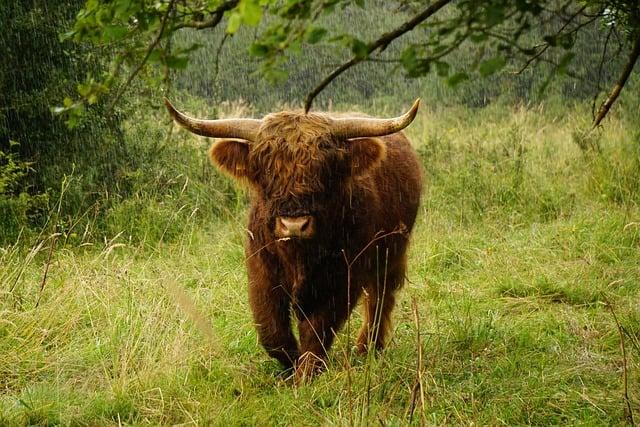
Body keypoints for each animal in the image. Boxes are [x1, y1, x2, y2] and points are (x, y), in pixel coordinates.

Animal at [165, 98, 422, 382]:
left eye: (324, 168)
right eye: (266, 169)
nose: (294, 225)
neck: (299, 255)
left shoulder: (343, 276)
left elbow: (318, 327)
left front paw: (307, 373)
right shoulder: (262, 273)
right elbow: (271, 330)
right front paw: (291, 366)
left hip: (390, 254)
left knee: (380, 298)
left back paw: (368, 348)